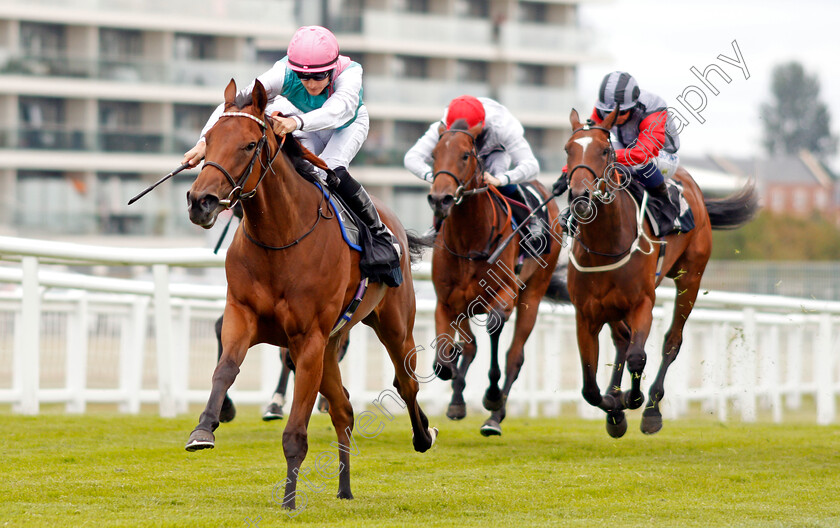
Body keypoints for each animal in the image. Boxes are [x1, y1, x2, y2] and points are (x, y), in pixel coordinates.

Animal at [182, 78, 434, 508]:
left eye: (249, 144)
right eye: (209, 138)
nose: (201, 202)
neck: (279, 238)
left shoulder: (308, 338)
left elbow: (295, 433)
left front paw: (288, 502)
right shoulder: (243, 316)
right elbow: (225, 369)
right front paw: (204, 429)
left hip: (393, 325)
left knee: (407, 382)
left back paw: (423, 435)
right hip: (332, 345)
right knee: (344, 409)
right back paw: (345, 489)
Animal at [426, 119, 564, 438]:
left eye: (465, 155)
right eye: (434, 154)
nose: (440, 199)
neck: (468, 241)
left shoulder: (505, 294)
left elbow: (494, 325)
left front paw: (490, 395)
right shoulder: (447, 302)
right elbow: (446, 359)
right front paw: (454, 388)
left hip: (533, 293)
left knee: (515, 355)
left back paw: (494, 416)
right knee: (472, 348)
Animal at [560, 105, 756, 436]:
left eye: (603, 150)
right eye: (567, 150)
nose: (580, 198)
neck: (605, 246)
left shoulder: (643, 303)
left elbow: (638, 356)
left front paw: (634, 399)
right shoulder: (586, 314)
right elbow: (589, 387)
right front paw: (614, 407)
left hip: (690, 278)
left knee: (671, 342)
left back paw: (652, 408)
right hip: (612, 307)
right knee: (622, 340)